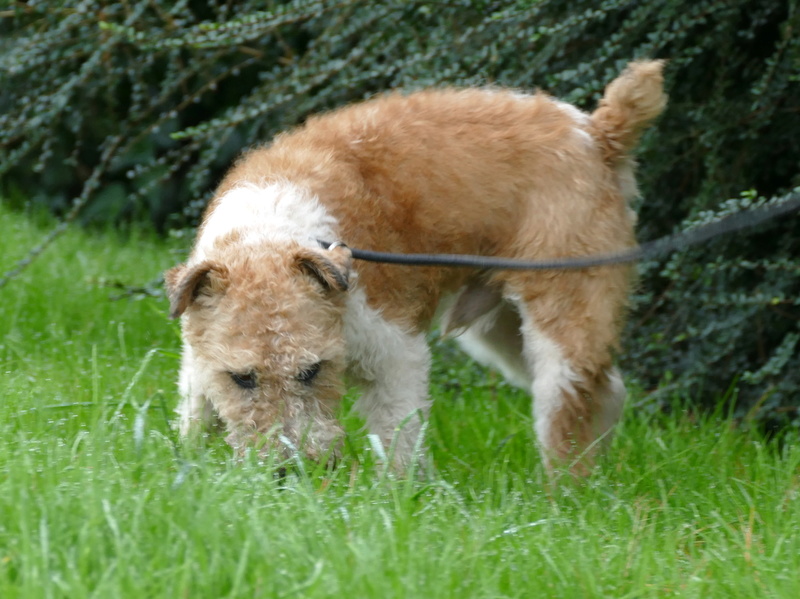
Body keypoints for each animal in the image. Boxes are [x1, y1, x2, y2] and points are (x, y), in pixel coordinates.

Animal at [166, 59, 664, 474]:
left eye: (312, 371)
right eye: (241, 378)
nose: (292, 472)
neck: (269, 233)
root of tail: (597, 133)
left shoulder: (394, 350)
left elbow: (398, 437)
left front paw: (400, 498)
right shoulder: (199, 352)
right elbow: (194, 408)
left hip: (562, 317)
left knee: (571, 411)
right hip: (503, 332)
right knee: (609, 391)